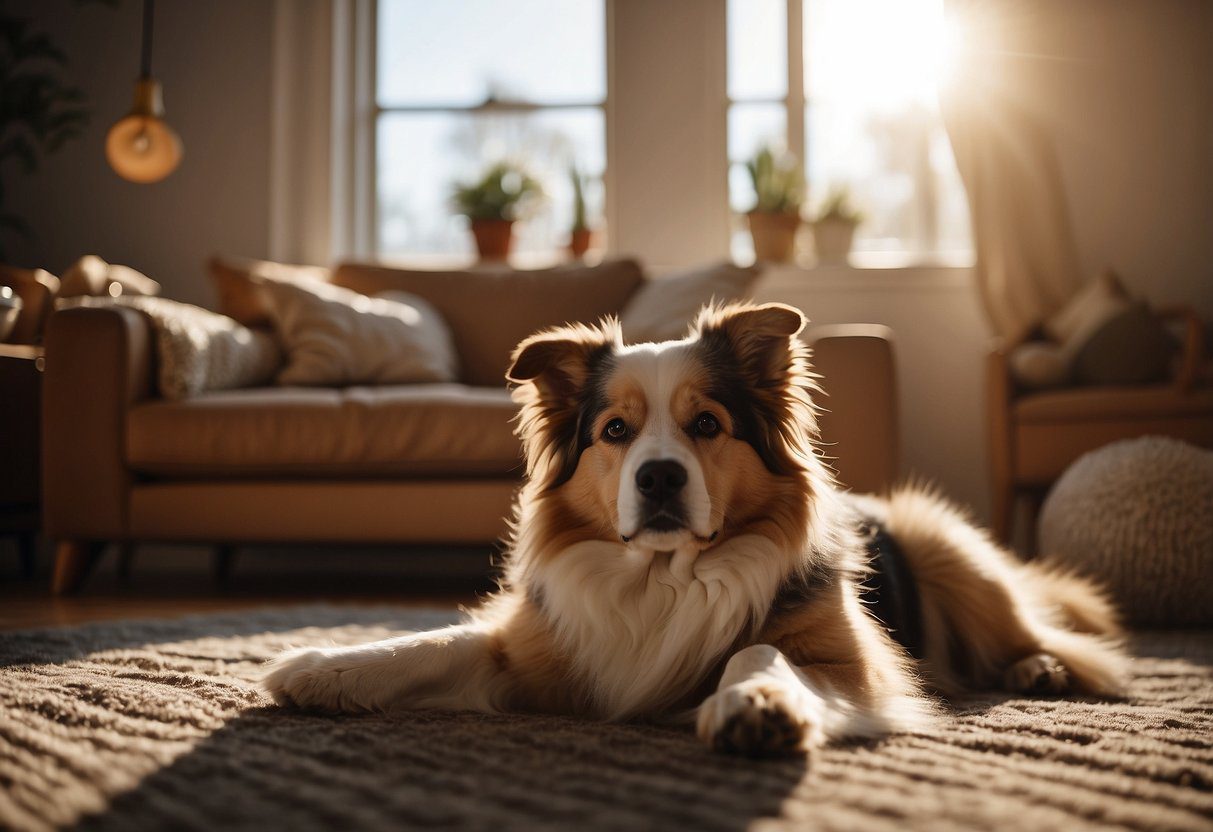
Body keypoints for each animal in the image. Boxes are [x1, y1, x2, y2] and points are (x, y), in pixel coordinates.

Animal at [265, 303, 1125, 761]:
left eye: (705, 424)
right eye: (614, 431)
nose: (657, 478)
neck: (666, 575)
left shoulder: (851, 666)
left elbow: (759, 648)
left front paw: (755, 704)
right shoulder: (548, 650)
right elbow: (437, 642)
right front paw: (322, 666)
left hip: (951, 555)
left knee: (1052, 636)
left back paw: (1040, 669)